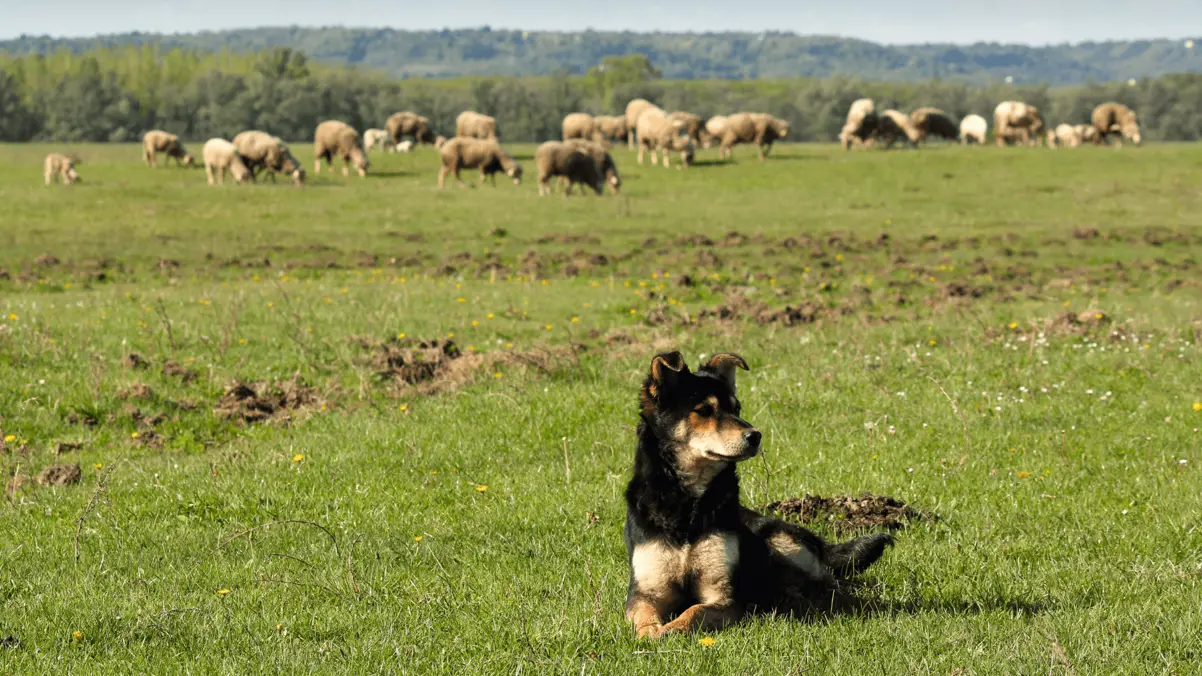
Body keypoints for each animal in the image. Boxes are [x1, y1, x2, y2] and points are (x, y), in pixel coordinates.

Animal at [625, 353, 899, 635]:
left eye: (736, 409)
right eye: (703, 411)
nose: (755, 435)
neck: (687, 503)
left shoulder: (725, 596)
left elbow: (693, 611)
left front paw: (670, 630)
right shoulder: (645, 592)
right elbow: (644, 616)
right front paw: (651, 633)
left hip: (785, 542)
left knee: (829, 580)